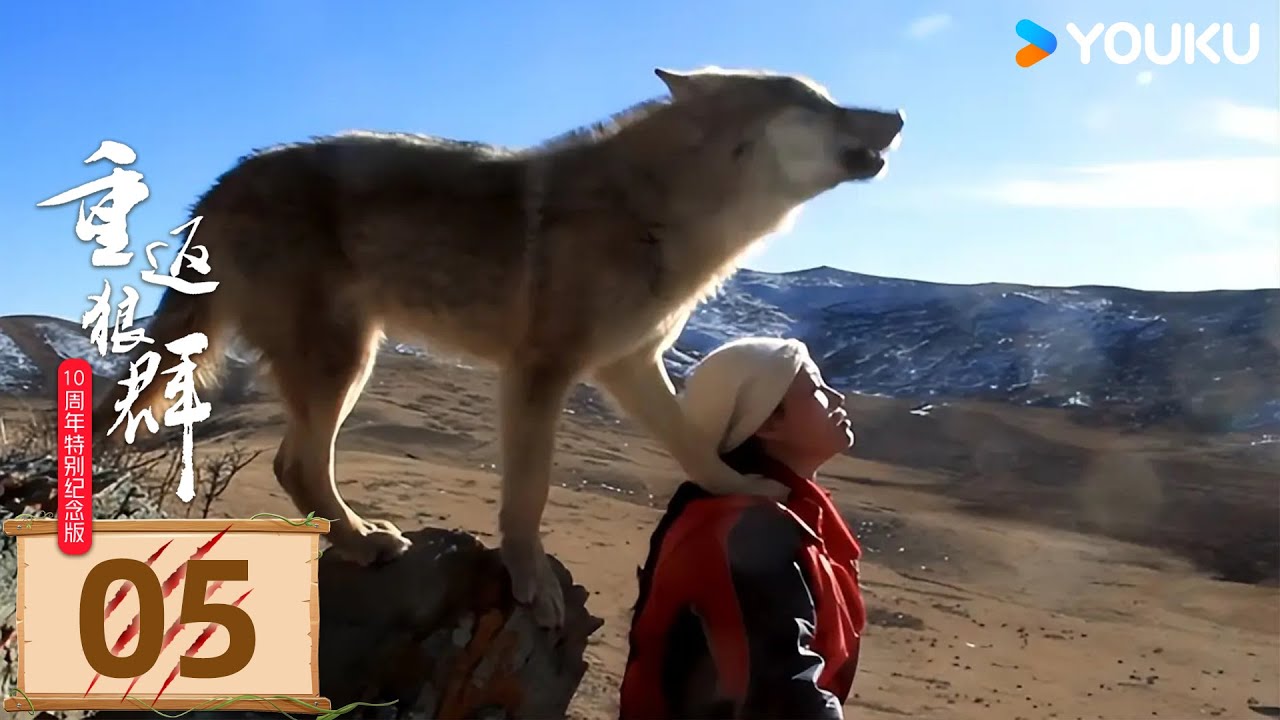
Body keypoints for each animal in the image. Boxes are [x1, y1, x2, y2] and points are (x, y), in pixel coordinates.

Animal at [91, 66, 904, 627]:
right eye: (817, 101)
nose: (898, 113)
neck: (668, 218)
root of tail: (223, 181)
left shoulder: (629, 365)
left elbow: (694, 447)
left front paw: (745, 489)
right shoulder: (541, 370)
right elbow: (528, 493)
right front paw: (529, 580)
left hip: (343, 361)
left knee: (292, 462)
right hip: (344, 362)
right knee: (296, 464)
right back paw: (366, 541)